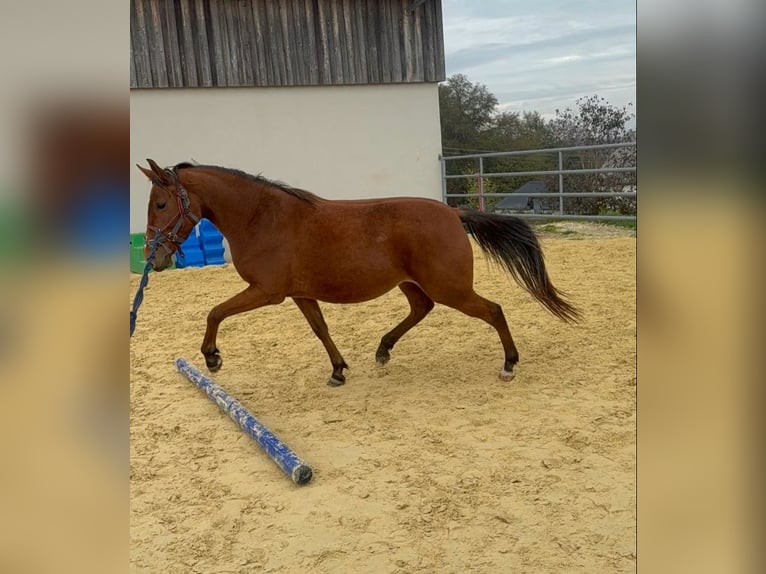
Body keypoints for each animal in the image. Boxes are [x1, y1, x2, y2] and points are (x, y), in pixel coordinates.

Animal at [137, 159, 580, 385]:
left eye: (160, 204)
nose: (152, 258)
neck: (263, 218)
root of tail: (453, 213)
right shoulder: (300, 293)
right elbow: (321, 330)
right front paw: (338, 371)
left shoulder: (267, 292)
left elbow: (215, 312)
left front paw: (212, 357)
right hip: (412, 284)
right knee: (422, 308)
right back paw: (383, 349)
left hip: (451, 287)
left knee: (493, 311)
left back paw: (509, 363)